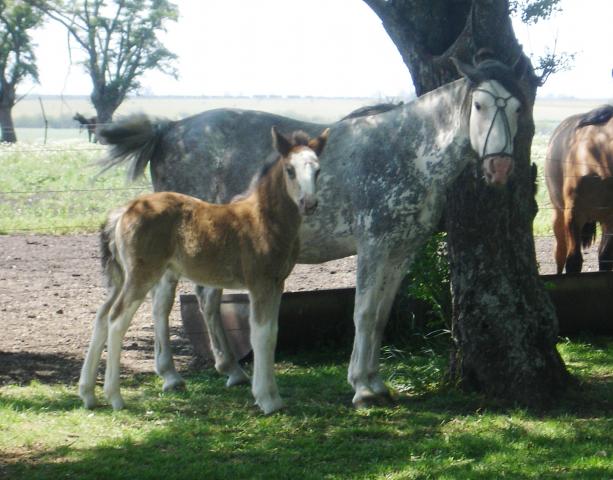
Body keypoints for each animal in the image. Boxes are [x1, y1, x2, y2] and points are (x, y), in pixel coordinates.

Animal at [79, 127, 329, 414]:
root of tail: (124, 210)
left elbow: (273, 333)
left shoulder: (277, 283)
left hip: (122, 277)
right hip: (142, 275)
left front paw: (272, 396)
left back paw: (87, 394)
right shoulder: (260, 283)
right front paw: (267, 399)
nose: (309, 203)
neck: (263, 219)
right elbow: (261, 335)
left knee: (101, 316)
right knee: (116, 319)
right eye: (290, 170)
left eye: (318, 170)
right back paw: (115, 397)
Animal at [545, 104, 613, 273]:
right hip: (559, 214)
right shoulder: (574, 215)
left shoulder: (611, 218)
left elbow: (605, 257)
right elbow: (573, 261)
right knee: (560, 253)